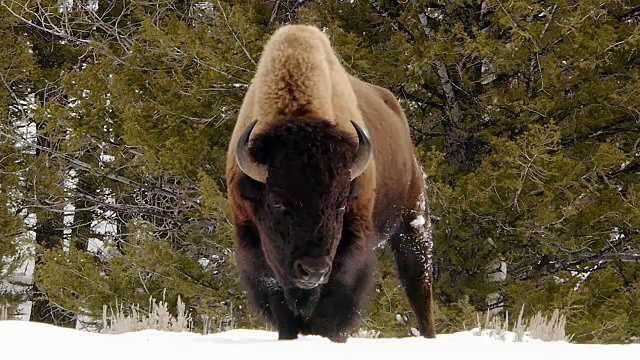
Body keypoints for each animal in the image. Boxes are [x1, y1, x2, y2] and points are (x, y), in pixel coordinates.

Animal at [225, 23, 436, 342]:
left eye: (341, 205)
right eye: (276, 202)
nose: (313, 270)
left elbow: (333, 305)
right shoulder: (252, 240)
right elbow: (283, 307)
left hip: (412, 221)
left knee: (418, 284)